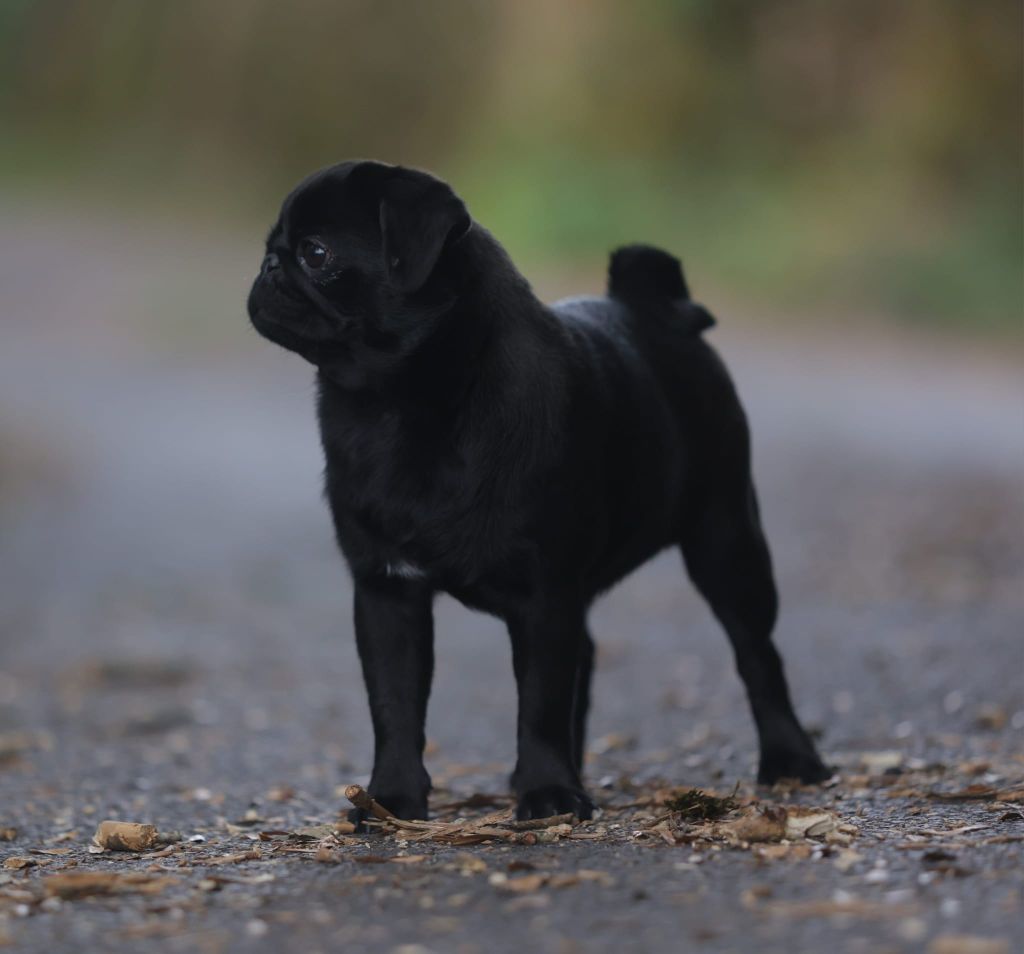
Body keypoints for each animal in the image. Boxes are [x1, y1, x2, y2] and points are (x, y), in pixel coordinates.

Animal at [249, 160, 831, 822]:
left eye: (316, 253)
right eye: (273, 247)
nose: (268, 267)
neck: (400, 405)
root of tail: (654, 310)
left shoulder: (544, 594)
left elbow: (541, 702)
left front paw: (548, 791)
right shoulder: (387, 592)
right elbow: (395, 706)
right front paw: (393, 799)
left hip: (726, 540)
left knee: (758, 654)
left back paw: (791, 759)